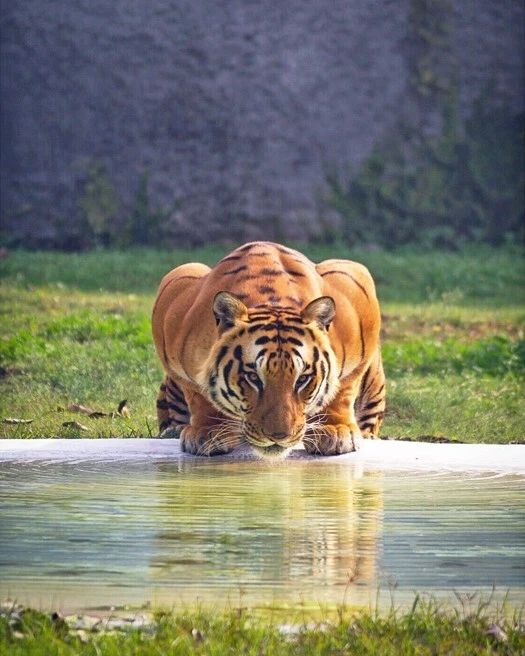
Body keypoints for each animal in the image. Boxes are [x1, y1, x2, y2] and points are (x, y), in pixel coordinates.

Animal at [151, 241, 385, 458]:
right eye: (253, 377)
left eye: (302, 379)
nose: (279, 436)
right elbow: (198, 393)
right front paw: (208, 432)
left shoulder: (356, 288)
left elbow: (343, 388)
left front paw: (335, 430)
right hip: (187, 269)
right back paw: (173, 430)